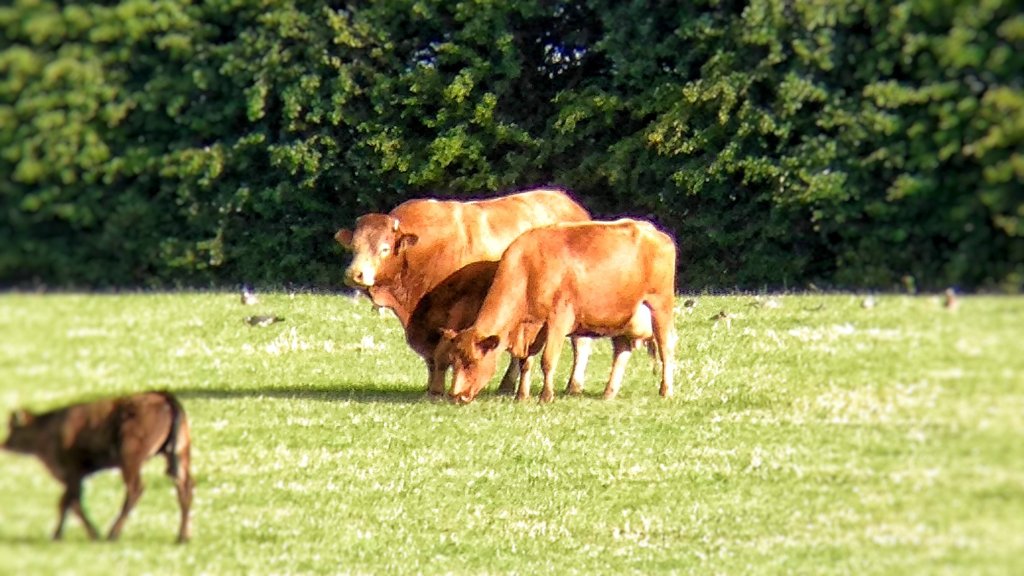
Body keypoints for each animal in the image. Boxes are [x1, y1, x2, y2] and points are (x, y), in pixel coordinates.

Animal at [2, 391, 193, 543]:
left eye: (13, 428)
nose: (4, 444)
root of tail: (163, 397)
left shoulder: (72, 473)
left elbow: (66, 502)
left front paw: (58, 535)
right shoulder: (74, 477)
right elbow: (74, 504)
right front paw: (90, 534)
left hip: (129, 460)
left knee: (135, 489)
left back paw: (112, 534)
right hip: (179, 455)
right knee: (185, 489)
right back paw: (182, 537)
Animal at [335, 188, 593, 397]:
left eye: (385, 249)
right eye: (354, 247)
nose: (354, 274)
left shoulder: (459, 309)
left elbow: (441, 352)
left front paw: (437, 390)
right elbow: (431, 358)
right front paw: (431, 386)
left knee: (580, 342)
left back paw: (574, 385)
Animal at [440, 219, 677, 404]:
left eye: (471, 361)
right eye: (453, 360)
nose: (456, 396)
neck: (528, 269)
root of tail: (653, 231)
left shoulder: (558, 318)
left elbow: (547, 360)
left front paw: (546, 396)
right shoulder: (533, 327)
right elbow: (526, 362)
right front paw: (522, 396)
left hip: (661, 304)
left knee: (666, 347)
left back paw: (666, 390)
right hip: (621, 317)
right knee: (622, 350)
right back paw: (608, 393)